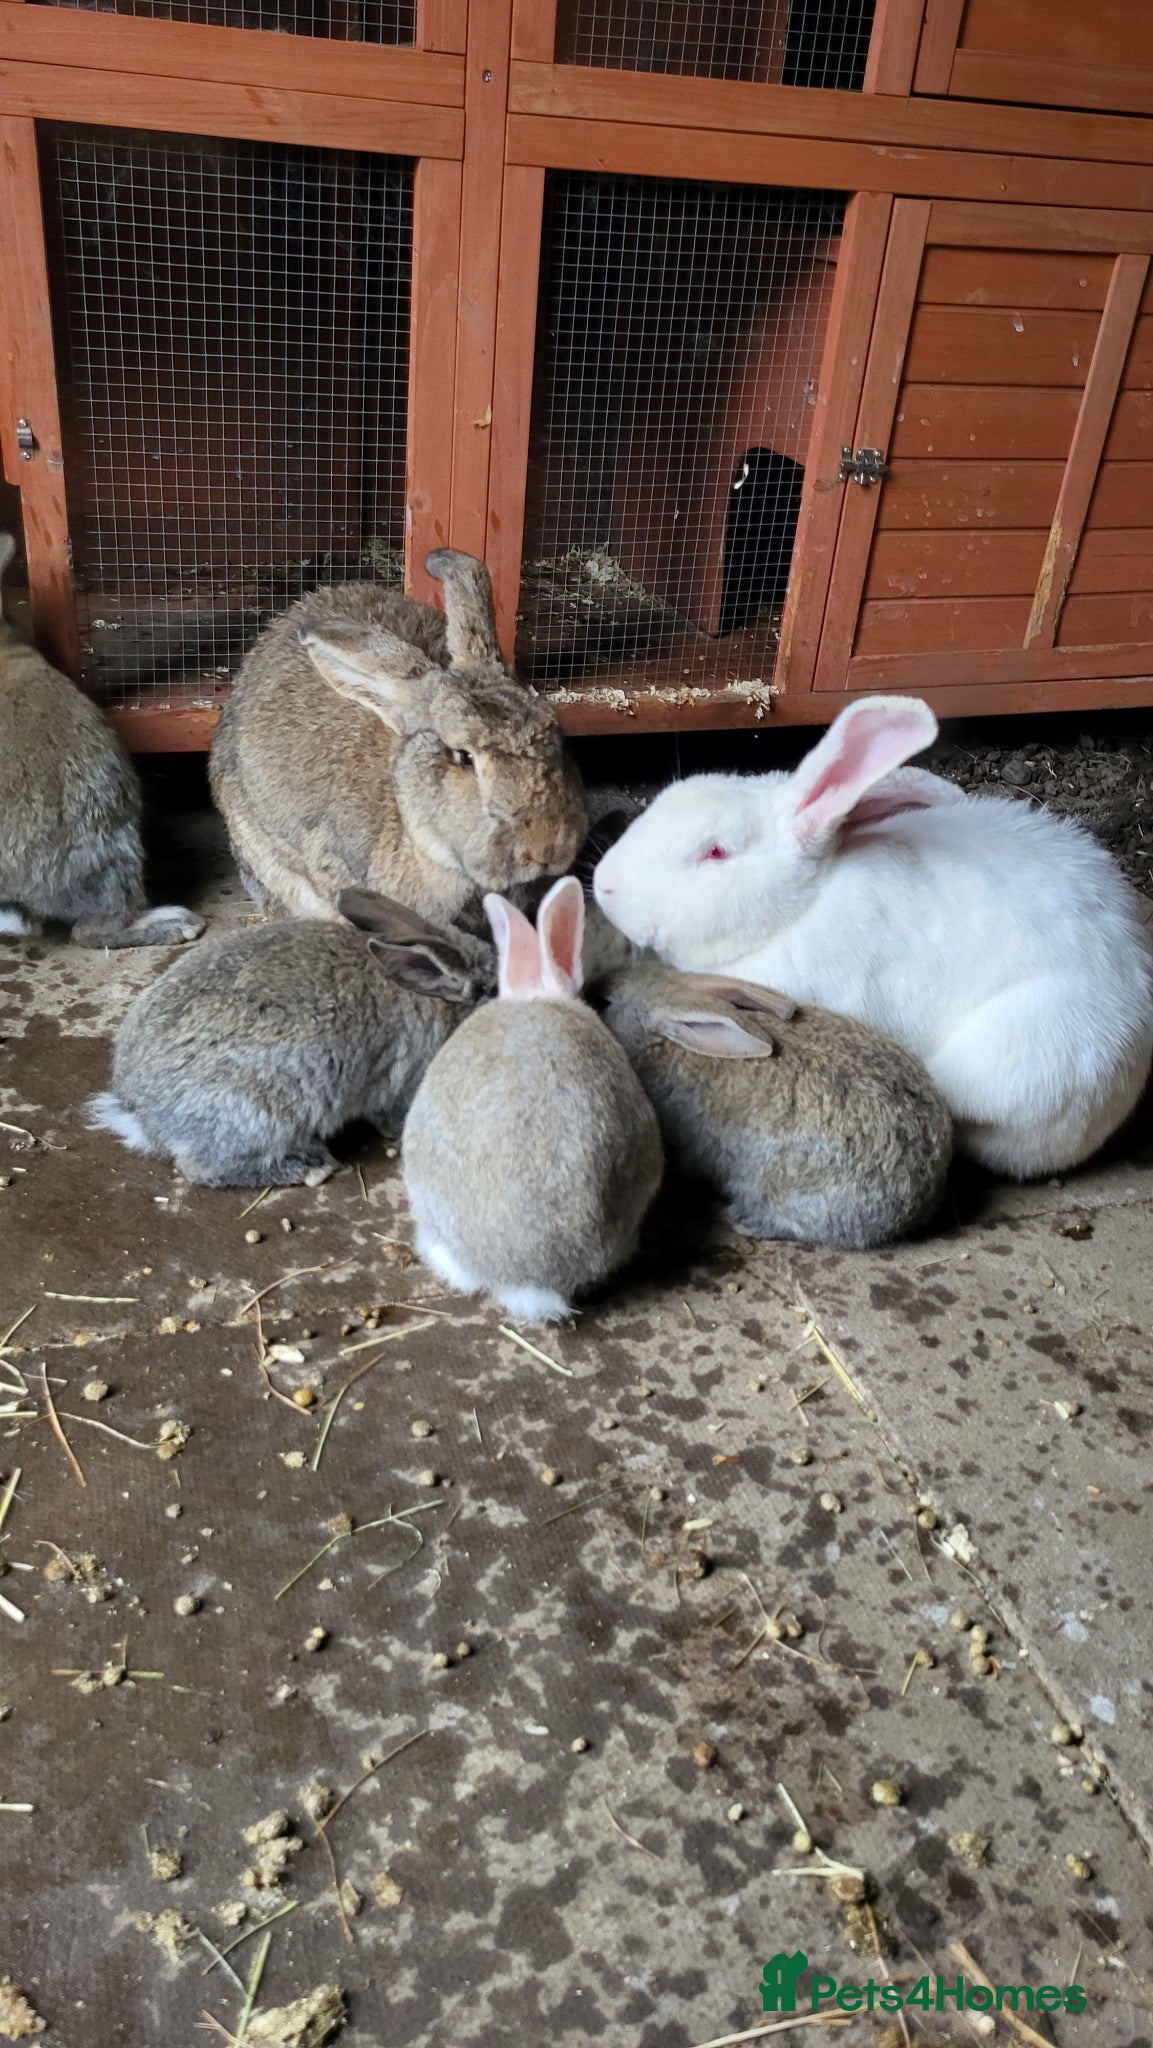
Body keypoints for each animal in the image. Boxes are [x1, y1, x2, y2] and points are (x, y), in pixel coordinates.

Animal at [596, 959, 952, 1248]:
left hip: (784, 1191)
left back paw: (733, 1216)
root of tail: (921, 1198)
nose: (593, 985)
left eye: (606, 1001)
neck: (662, 1042)